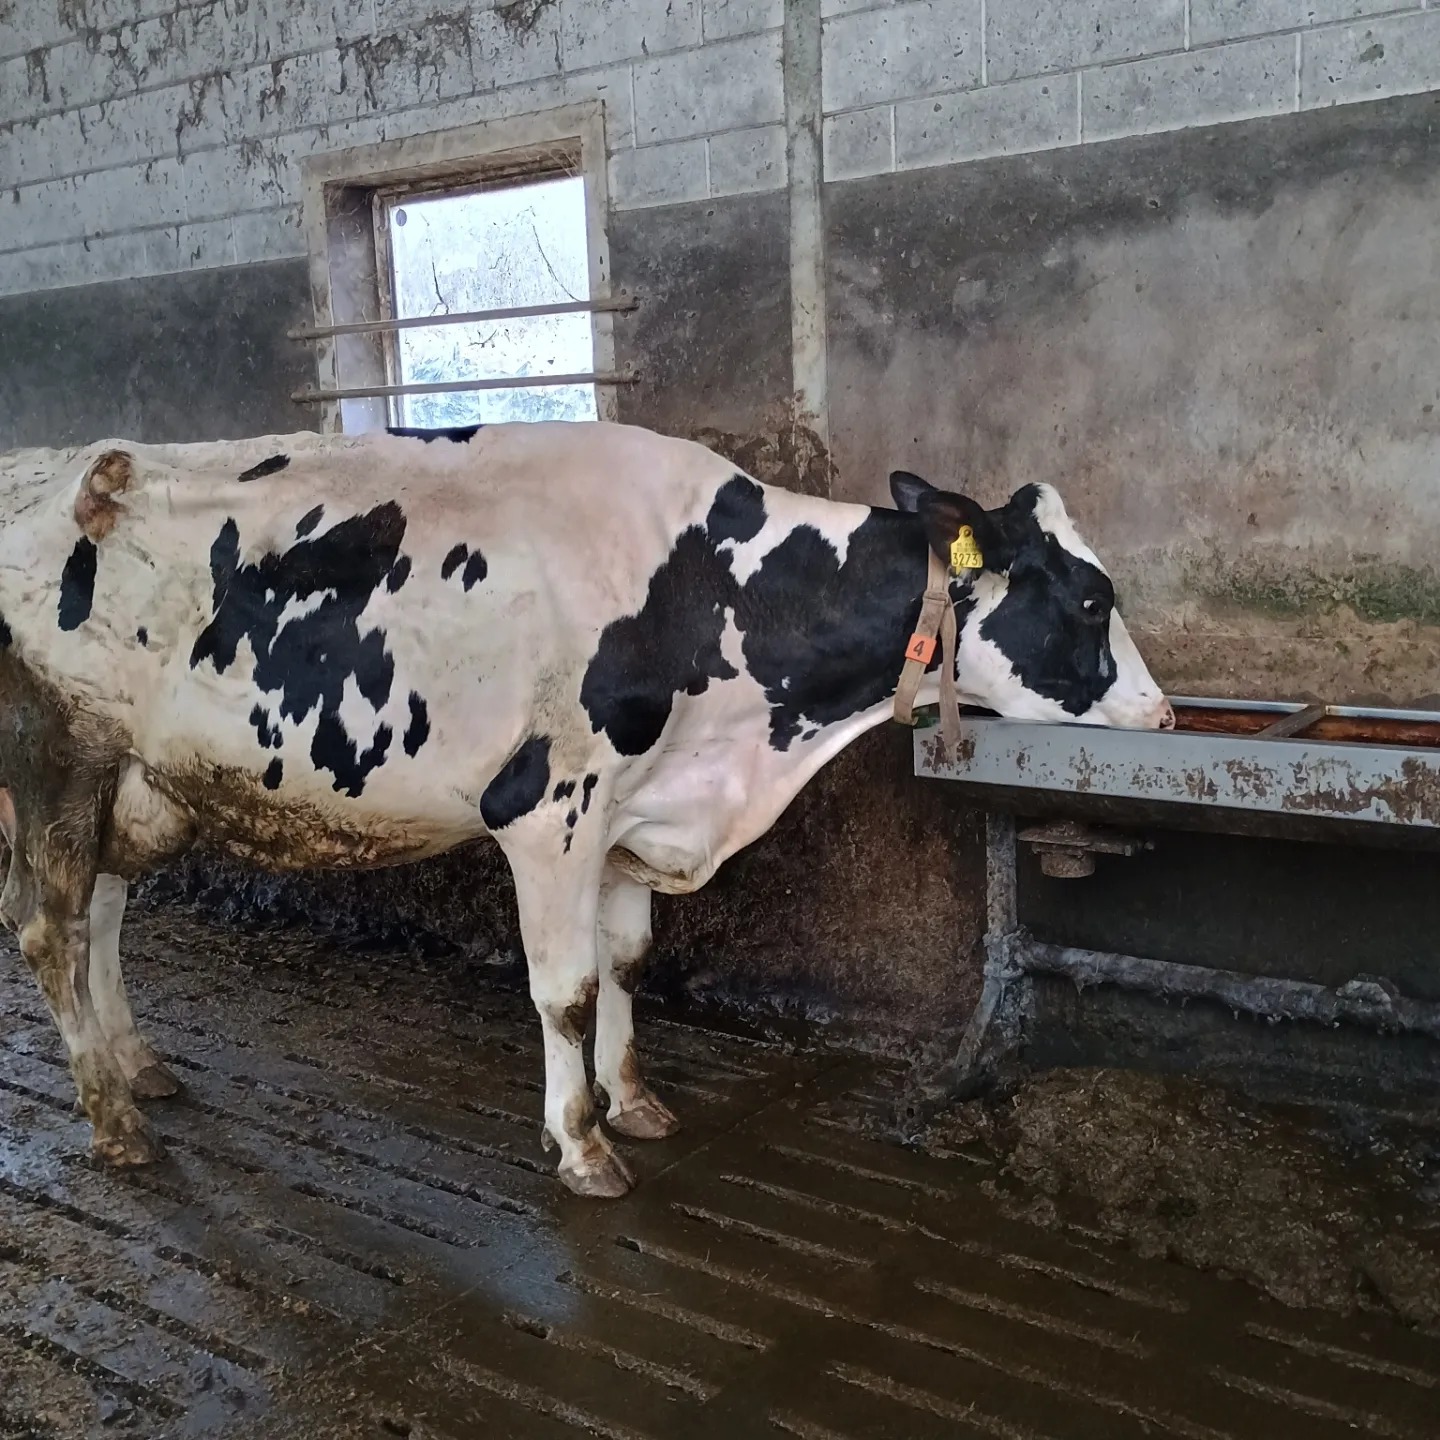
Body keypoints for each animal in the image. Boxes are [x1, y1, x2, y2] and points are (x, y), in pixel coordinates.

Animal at [0, 421, 1173, 1197]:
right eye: (1090, 598)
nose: (1164, 714)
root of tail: (46, 459)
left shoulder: (629, 814)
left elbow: (627, 964)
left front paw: (634, 1102)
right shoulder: (549, 811)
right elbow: (563, 990)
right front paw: (581, 1143)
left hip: (133, 781)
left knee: (100, 917)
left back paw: (140, 1069)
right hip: (55, 756)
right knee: (49, 929)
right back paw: (112, 1120)